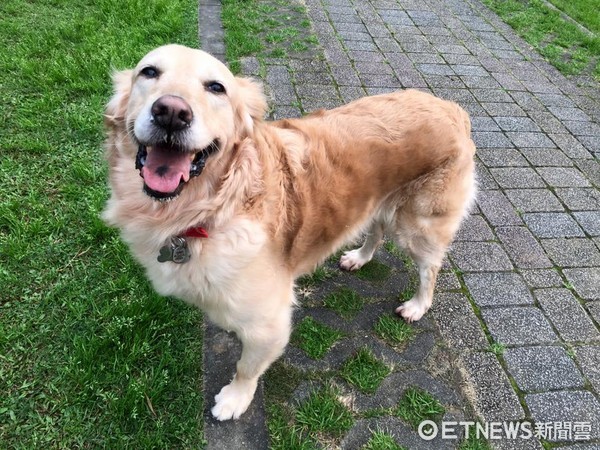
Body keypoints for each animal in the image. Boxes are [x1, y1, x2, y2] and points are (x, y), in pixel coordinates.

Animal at [103, 44, 478, 420]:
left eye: (216, 88)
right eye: (149, 72)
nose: (171, 112)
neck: (213, 209)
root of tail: (452, 107)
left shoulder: (268, 323)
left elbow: (246, 367)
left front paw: (235, 399)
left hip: (419, 226)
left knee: (430, 268)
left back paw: (417, 305)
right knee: (377, 231)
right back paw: (360, 257)